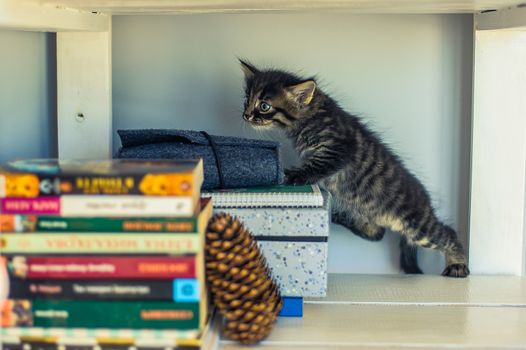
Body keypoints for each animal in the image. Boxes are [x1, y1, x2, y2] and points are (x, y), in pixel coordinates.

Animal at [241, 60, 472, 278]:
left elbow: (314, 166)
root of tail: (426, 202)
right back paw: (340, 216)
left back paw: (458, 264)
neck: (313, 114)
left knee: (448, 233)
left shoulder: (338, 149)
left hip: (417, 224)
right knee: (376, 233)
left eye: (264, 106)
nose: (246, 115)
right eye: (247, 100)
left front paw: (291, 174)